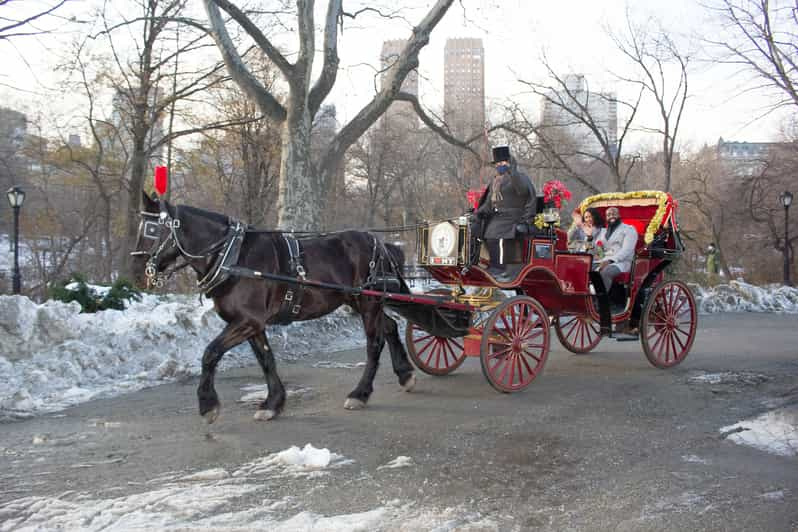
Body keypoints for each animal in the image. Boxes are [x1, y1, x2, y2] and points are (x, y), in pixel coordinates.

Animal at [130, 191, 418, 424]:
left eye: (152, 230)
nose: (137, 270)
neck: (232, 257)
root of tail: (381, 244)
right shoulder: (251, 323)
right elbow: (266, 359)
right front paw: (273, 403)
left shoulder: (247, 322)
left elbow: (210, 353)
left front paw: (208, 405)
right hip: (360, 301)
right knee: (390, 327)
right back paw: (405, 374)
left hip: (368, 302)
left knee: (375, 343)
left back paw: (360, 393)